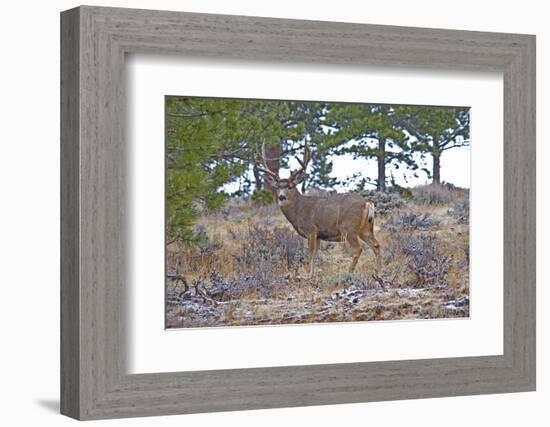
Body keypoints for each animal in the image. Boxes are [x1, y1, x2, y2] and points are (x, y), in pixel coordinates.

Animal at [258, 145, 380, 276]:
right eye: (277, 187)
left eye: (290, 187)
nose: (281, 197)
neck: (298, 210)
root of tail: (367, 203)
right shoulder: (319, 235)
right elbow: (316, 255)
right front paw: (313, 274)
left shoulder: (311, 229)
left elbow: (310, 253)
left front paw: (307, 274)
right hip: (366, 228)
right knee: (376, 245)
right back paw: (378, 270)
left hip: (349, 228)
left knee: (358, 249)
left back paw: (349, 272)